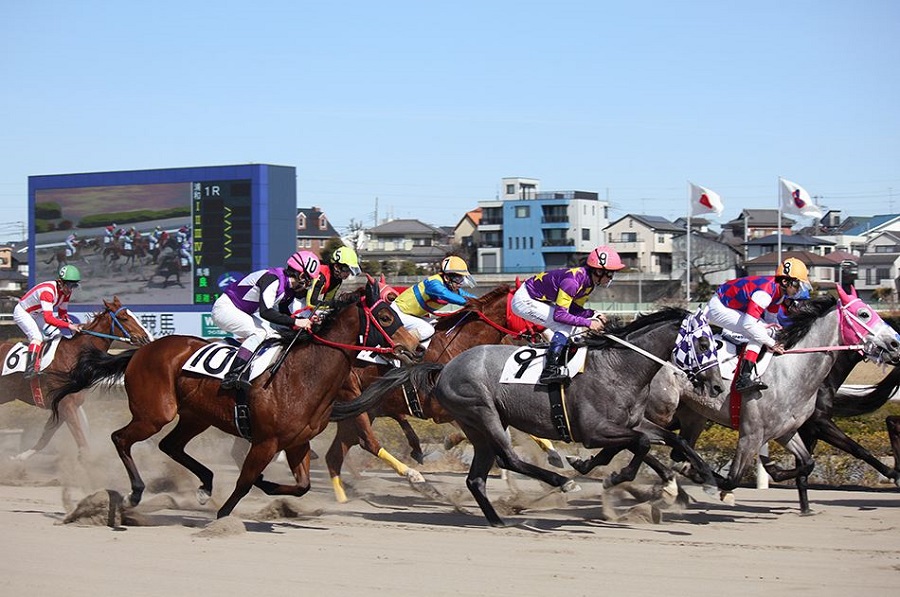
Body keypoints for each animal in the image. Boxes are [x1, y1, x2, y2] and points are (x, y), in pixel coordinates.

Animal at [0, 296, 152, 458]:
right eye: (123, 317)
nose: (146, 338)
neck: (74, 355)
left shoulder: (62, 407)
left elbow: (45, 437)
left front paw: (21, 456)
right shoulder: (67, 405)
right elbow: (83, 443)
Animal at [51, 280, 422, 516]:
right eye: (386, 317)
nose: (417, 348)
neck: (303, 375)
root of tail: (141, 351)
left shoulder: (296, 442)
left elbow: (300, 485)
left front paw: (267, 486)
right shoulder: (265, 442)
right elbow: (244, 483)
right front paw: (225, 514)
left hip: (195, 416)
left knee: (170, 446)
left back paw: (204, 485)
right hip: (154, 413)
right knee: (121, 438)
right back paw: (135, 493)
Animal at [338, 308, 724, 528]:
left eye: (716, 343)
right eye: (704, 343)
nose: (718, 386)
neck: (618, 367)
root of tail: (444, 367)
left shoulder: (630, 422)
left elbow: (669, 438)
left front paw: (703, 476)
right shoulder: (596, 430)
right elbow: (640, 444)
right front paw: (616, 477)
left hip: (477, 426)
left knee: (476, 477)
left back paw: (496, 520)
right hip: (484, 413)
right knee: (508, 457)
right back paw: (560, 482)